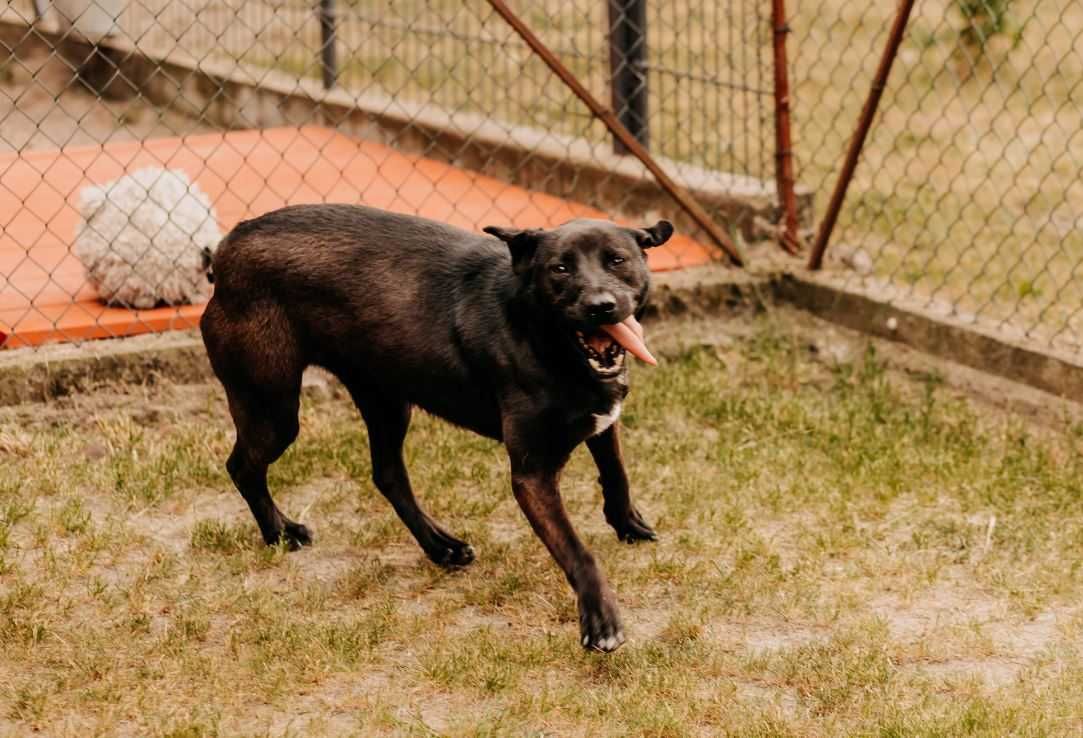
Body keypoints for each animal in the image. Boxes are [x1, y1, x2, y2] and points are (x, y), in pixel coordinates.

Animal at [202, 202, 671, 650]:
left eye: (617, 260)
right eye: (559, 268)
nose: (600, 305)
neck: (541, 336)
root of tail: (228, 247)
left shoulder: (602, 420)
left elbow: (617, 474)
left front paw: (628, 524)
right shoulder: (531, 474)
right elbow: (577, 551)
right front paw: (600, 621)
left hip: (386, 401)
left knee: (388, 474)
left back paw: (441, 547)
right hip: (275, 409)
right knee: (242, 467)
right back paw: (279, 533)